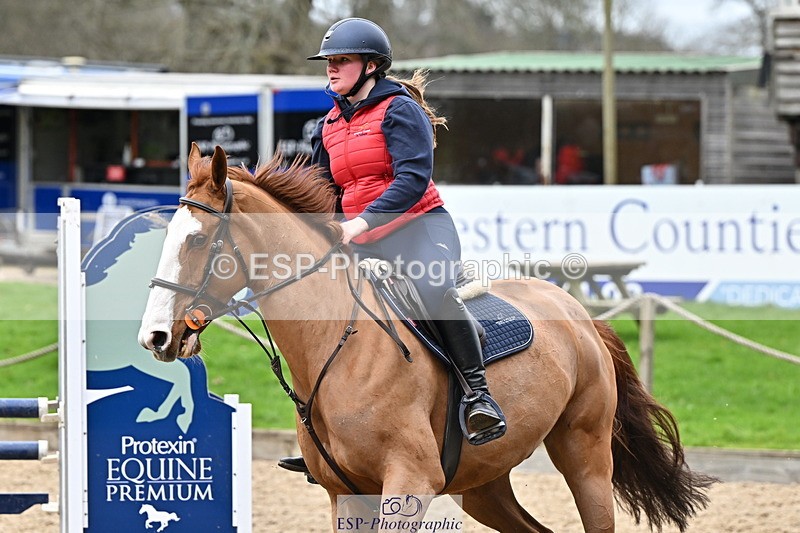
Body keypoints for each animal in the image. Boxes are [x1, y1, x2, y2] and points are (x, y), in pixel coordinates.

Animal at [138, 143, 715, 532]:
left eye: (196, 241)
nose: (156, 336)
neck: (339, 347)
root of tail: (578, 313)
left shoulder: (409, 485)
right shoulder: (345, 495)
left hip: (585, 451)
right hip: (484, 484)